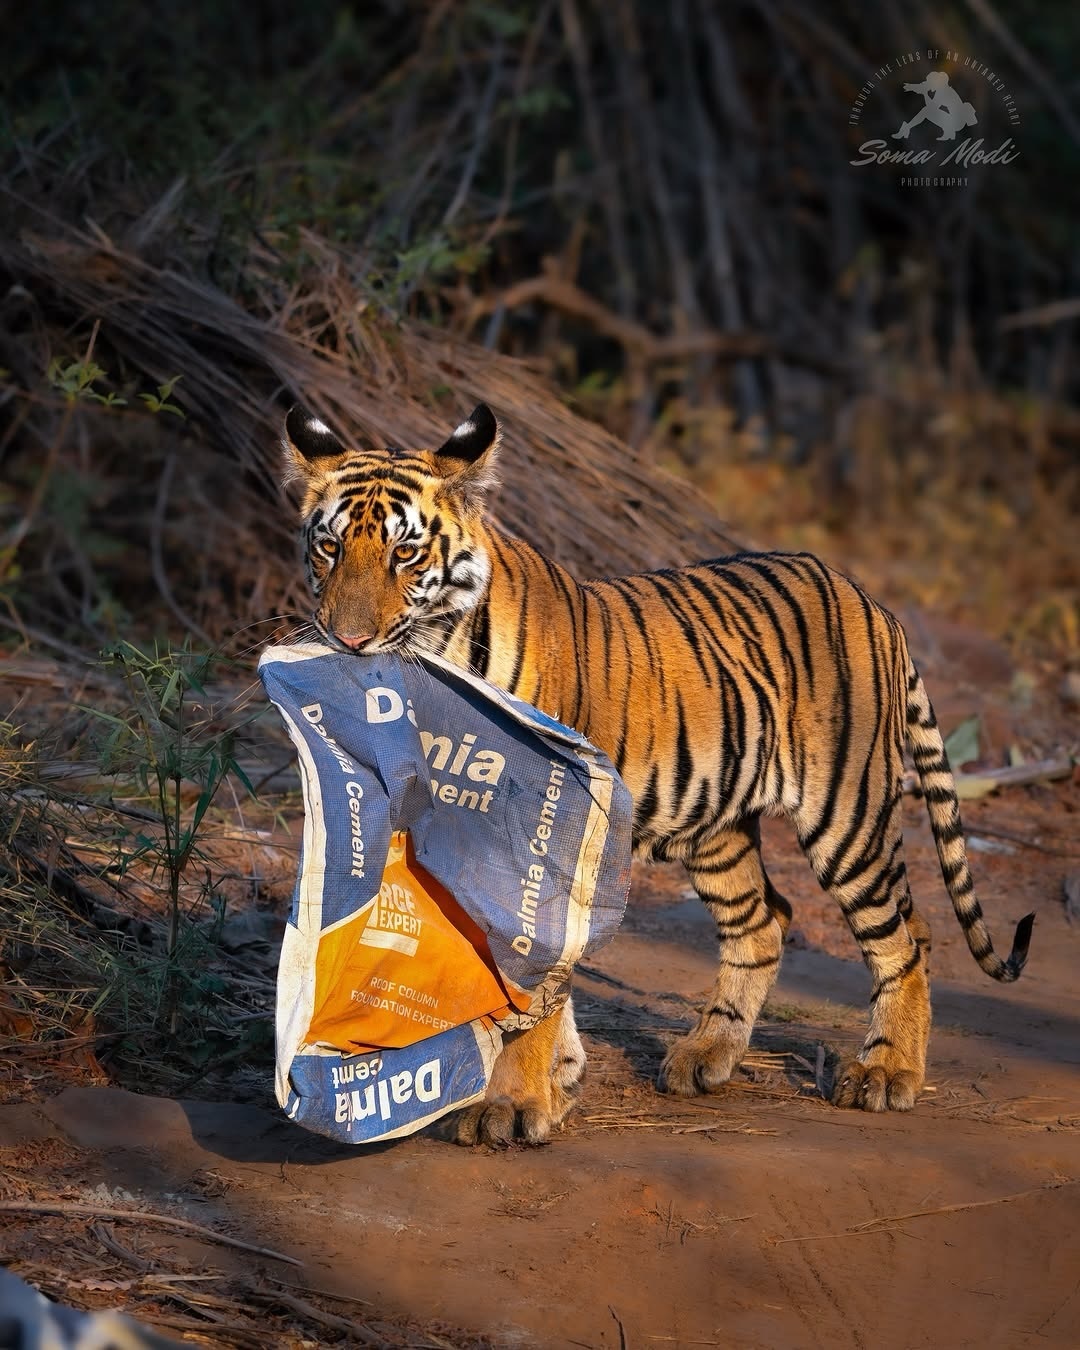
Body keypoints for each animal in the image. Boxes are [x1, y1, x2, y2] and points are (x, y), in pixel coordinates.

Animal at [281, 401, 1033, 1146]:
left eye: (405, 553)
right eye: (330, 547)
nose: (347, 639)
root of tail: (872, 601)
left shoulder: (544, 827)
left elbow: (536, 983)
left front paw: (513, 1104)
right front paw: (560, 1083)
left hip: (846, 814)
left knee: (905, 938)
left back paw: (887, 1072)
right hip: (715, 826)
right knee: (766, 922)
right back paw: (706, 1057)